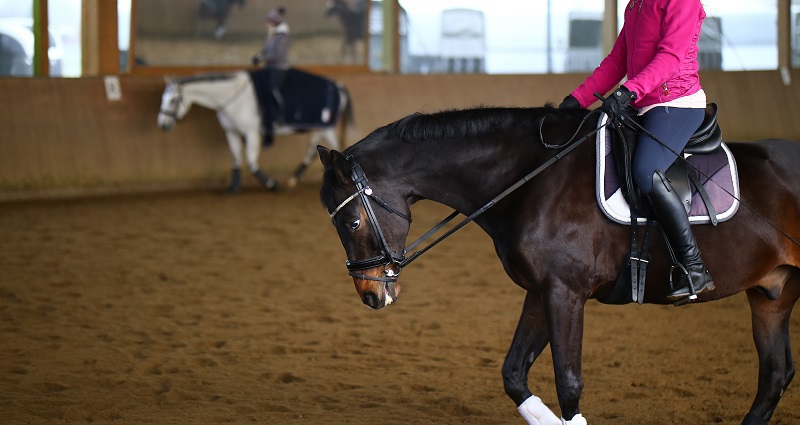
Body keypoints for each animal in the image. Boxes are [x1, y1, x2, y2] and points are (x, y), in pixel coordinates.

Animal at [158, 69, 353, 193]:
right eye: (163, 98)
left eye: (173, 100)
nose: (162, 124)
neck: (233, 97)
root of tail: (339, 87)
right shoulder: (231, 132)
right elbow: (236, 158)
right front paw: (233, 187)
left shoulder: (251, 133)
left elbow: (251, 162)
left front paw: (272, 184)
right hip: (321, 128)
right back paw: (292, 181)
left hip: (323, 127)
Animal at [316, 105, 800, 424]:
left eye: (352, 220)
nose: (370, 294)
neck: (531, 180)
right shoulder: (541, 290)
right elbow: (513, 373)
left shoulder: (565, 292)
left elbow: (569, 383)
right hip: (772, 292)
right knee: (774, 376)